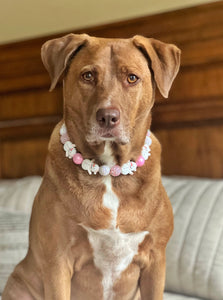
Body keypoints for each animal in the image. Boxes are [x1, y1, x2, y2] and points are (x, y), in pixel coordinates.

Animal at [2, 34, 180, 298]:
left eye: (132, 78)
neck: (111, 174)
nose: (107, 117)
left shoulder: (155, 261)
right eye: (87, 76)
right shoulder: (57, 261)